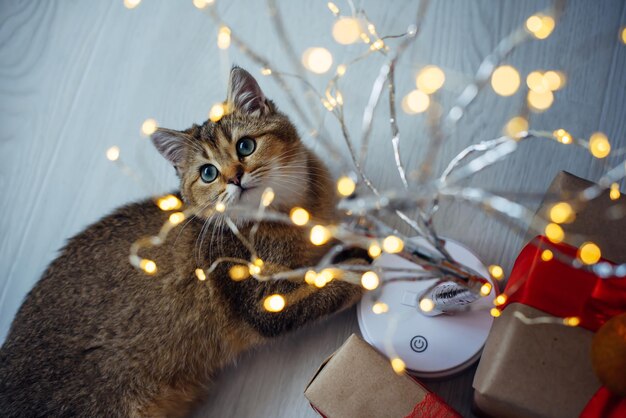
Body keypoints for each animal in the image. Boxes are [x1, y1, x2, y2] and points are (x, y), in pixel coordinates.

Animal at [0, 67, 364, 416]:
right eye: (208, 173)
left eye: (245, 146)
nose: (234, 177)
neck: (294, 211)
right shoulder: (262, 300)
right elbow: (325, 287)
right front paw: (362, 267)